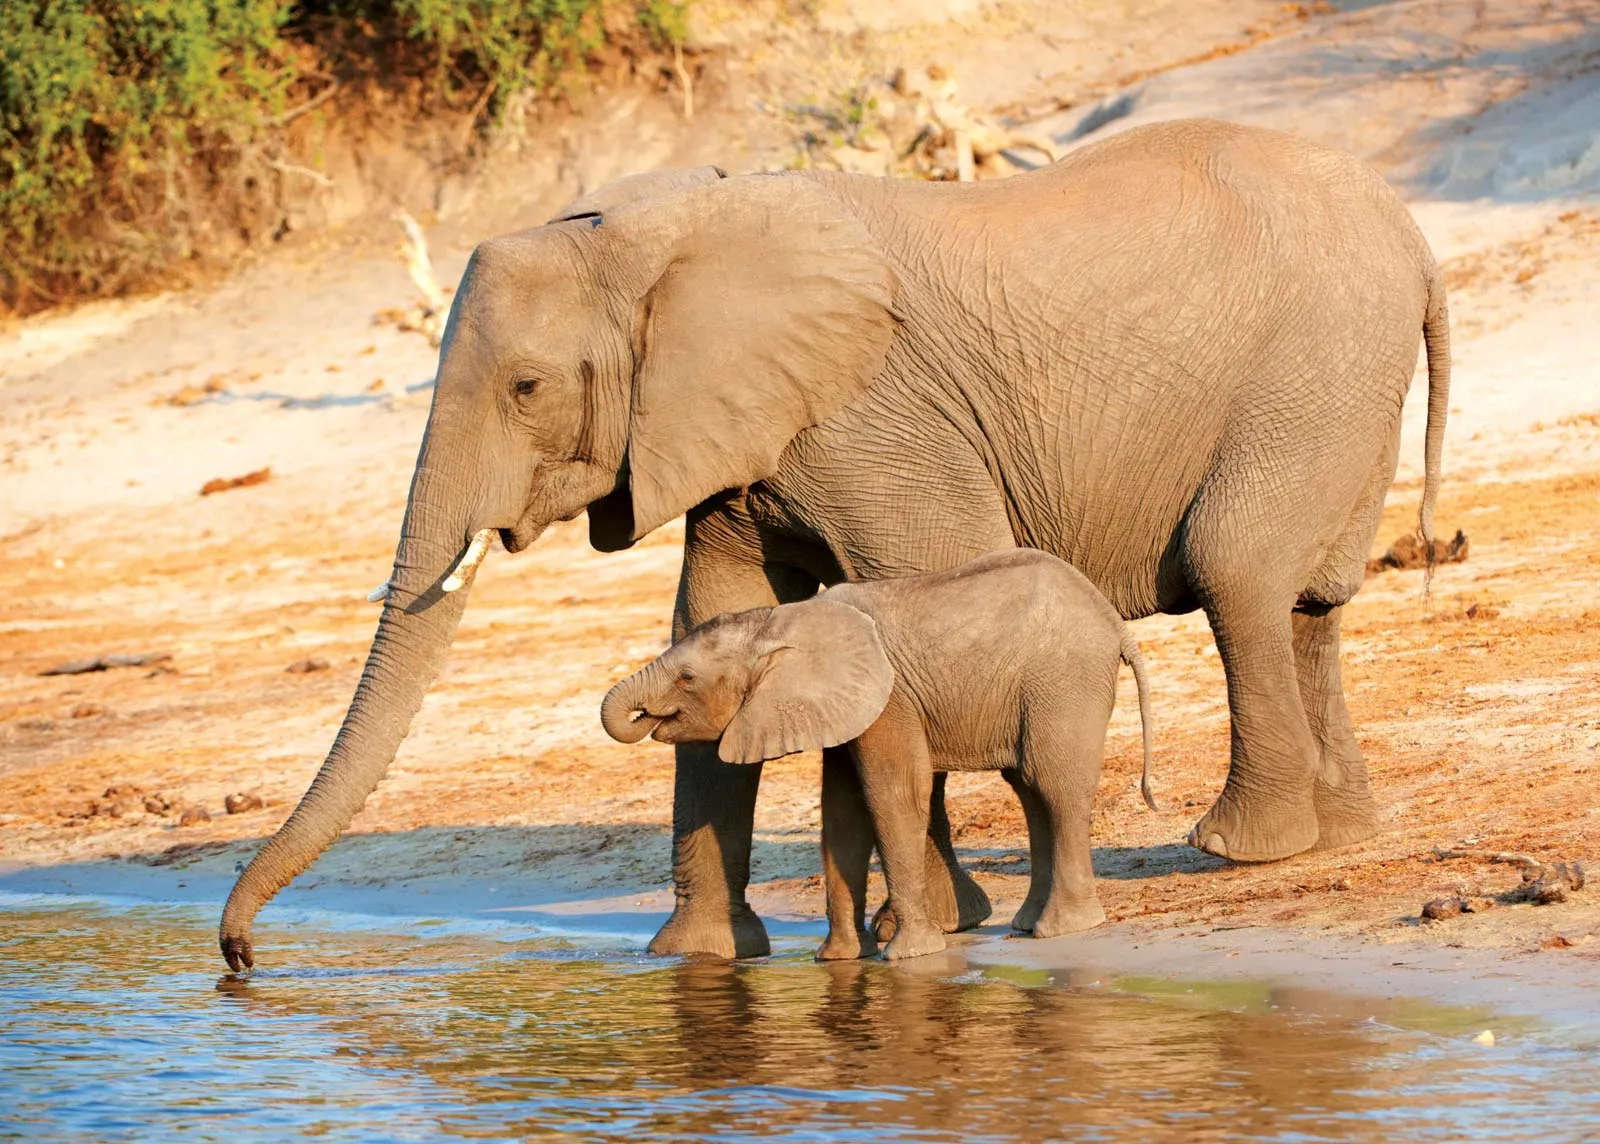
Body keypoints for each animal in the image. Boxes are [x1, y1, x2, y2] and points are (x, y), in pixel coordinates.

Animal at [600, 549, 1157, 961]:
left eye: (687, 678)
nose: (644, 715)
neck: (778, 623)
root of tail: (1113, 621)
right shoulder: (847, 706)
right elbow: (842, 814)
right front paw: (839, 960)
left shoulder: (890, 701)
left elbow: (893, 796)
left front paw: (908, 956)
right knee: (1028, 790)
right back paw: (1026, 925)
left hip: (1063, 680)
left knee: (1053, 785)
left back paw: (1062, 929)